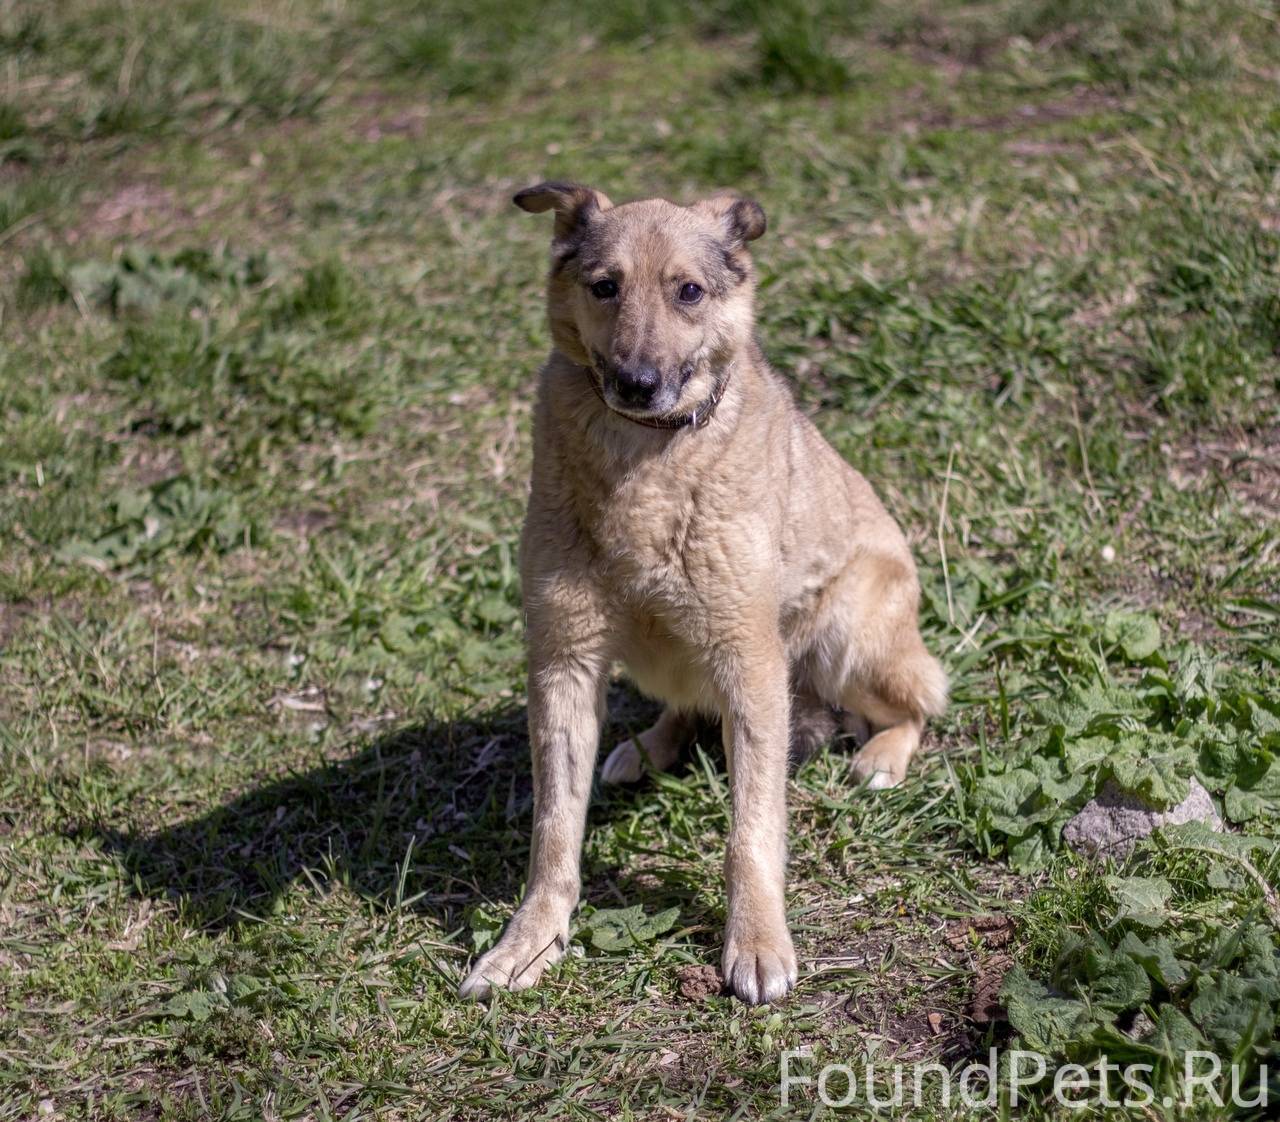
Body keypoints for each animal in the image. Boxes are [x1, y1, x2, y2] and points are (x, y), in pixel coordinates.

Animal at [463, 184, 952, 1008]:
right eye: (605, 286)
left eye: (689, 291)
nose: (636, 383)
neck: (647, 458)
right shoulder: (563, 661)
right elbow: (554, 833)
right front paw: (529, 942)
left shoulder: (749, 660)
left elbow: (749, 833)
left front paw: (756, 942)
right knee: (684, 706)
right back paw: (647, 747)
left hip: (844, 635)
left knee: (918, 703)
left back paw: (881, 755)